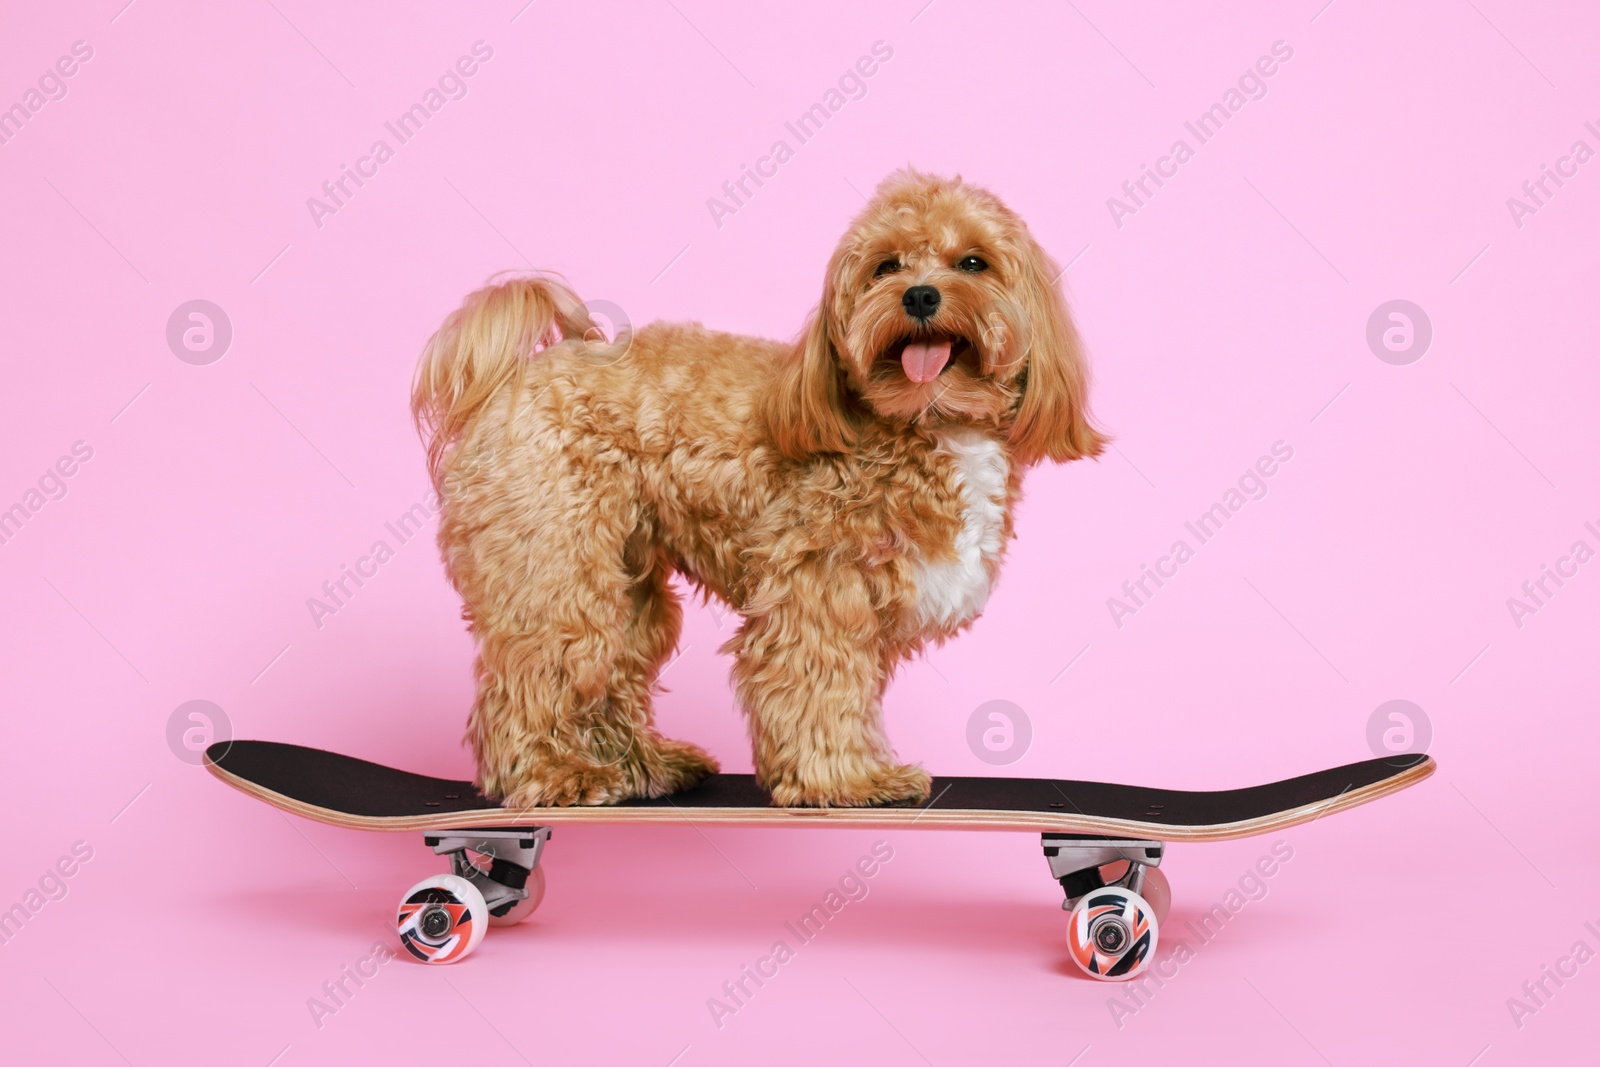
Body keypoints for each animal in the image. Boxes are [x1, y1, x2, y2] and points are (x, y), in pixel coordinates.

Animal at [412, 171, 1100, 809]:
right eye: (886, 266)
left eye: (974, 263)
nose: (921, 295)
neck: (923, 423)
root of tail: (516, 376)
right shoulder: (817, 587)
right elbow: (820, 686)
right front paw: (849, 780)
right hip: (555, 569)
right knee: (536, 677)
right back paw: (555, 774)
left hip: (626, 582)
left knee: (609, 674)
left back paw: (642, 767)